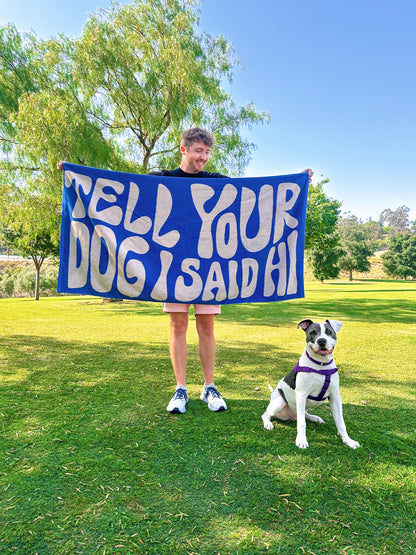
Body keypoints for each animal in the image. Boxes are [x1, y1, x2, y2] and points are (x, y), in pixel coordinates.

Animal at [262, 320, 360, 450]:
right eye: (313, 333)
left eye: (329, 332)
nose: (321, 341)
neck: (321, 365)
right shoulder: (301, 395)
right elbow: (302, 424)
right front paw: (301, 440)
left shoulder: (335, 397)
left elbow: (341, 422)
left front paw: (348, 441)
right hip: (279, 402)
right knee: (266, 415)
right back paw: (268, 423)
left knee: (303, 414)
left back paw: (314, 418)